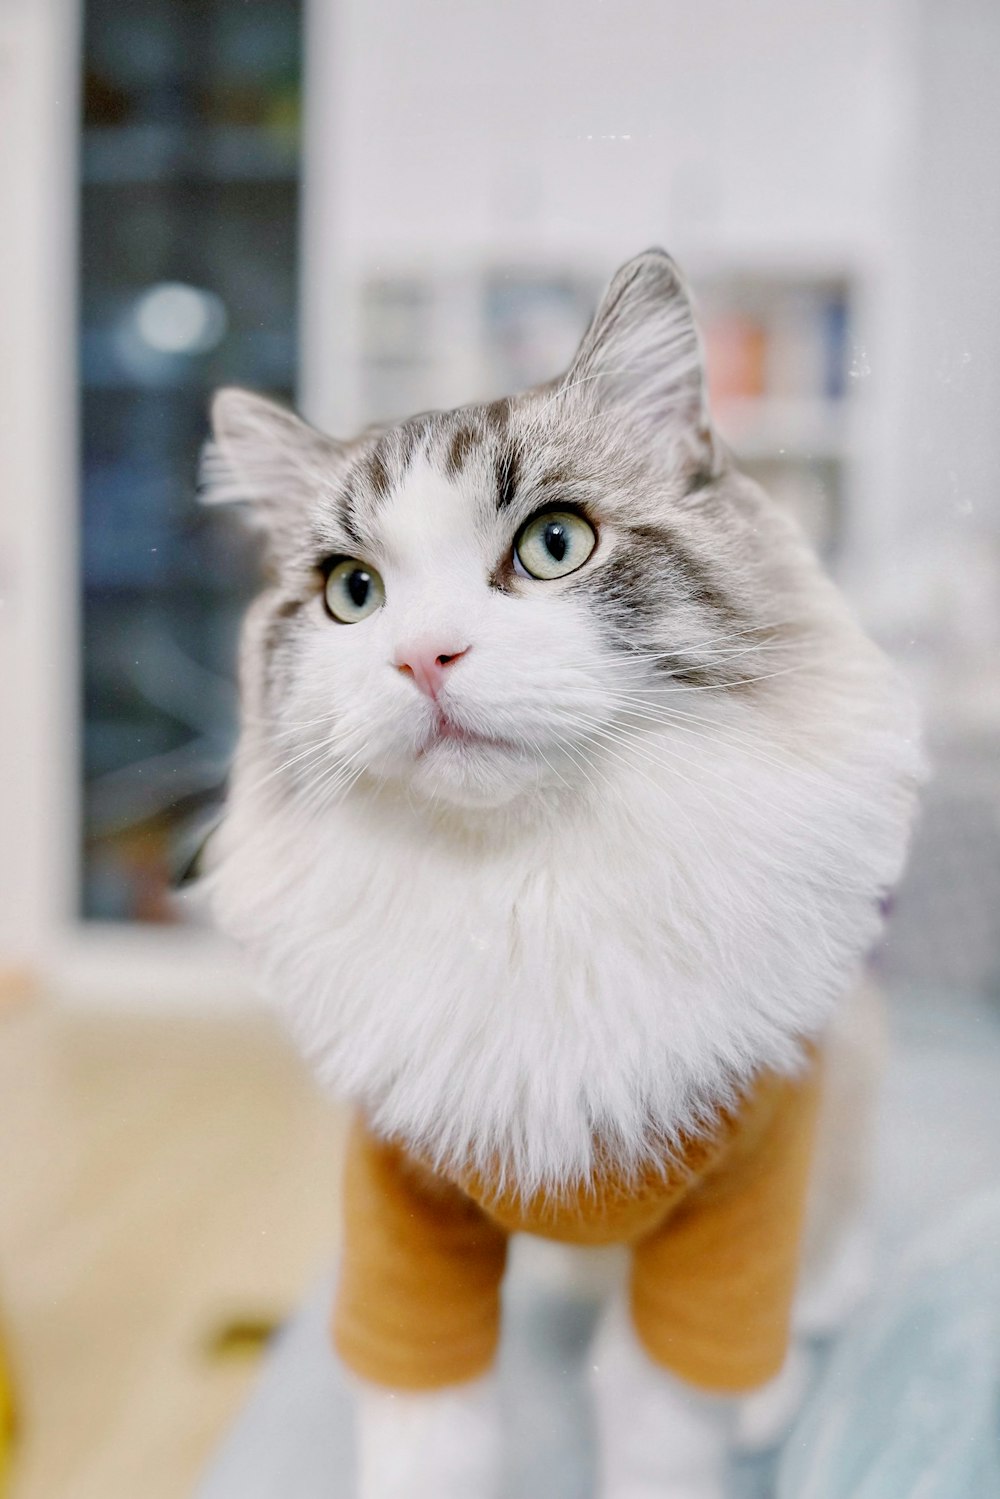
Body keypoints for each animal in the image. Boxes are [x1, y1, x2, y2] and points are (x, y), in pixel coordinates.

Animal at [200, 254, 923, 1499]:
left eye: (552, 544)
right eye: (352, 592)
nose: (422, 656)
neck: (526, 884)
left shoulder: (727, 1214)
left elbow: (665, 1418)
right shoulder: (405, 1224)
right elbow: (427, 1435)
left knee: (813, 1278)